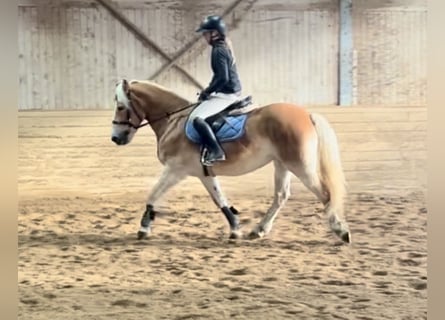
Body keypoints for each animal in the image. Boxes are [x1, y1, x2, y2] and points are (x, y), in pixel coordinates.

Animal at [110, 79, 350, 244]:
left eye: (121, 107)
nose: (115, 138)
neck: (173, 121)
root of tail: (307, 114)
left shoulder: (175, 170)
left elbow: (153, 194)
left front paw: (144, 228)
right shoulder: (204, 173)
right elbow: (220, 200)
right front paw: (235, 229)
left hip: (301, 166)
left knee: (325, 194)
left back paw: (341, 231)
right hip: (282, 164)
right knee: (281, 196)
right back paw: (259, 230)